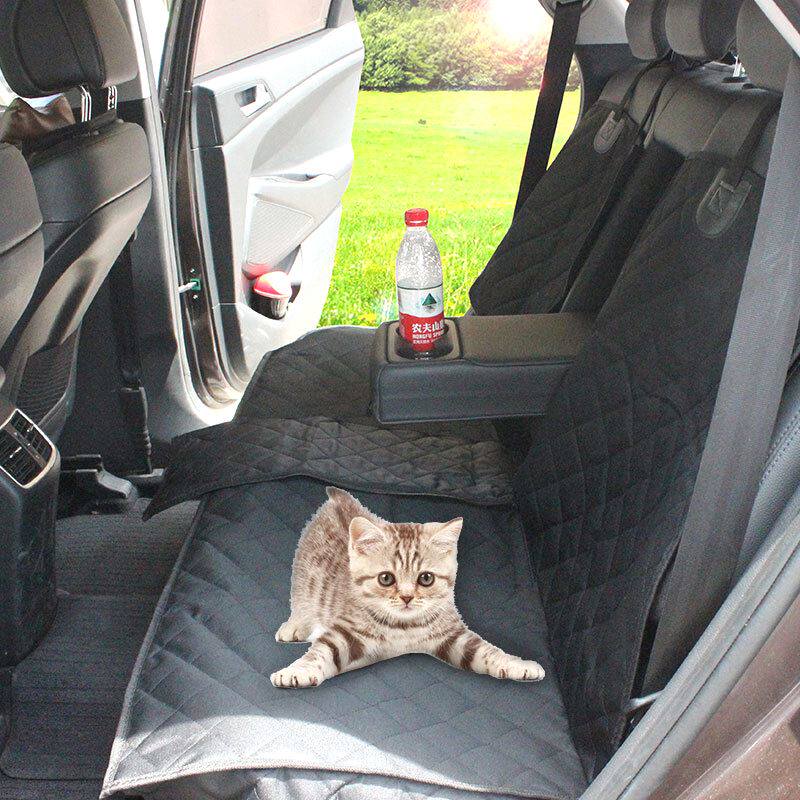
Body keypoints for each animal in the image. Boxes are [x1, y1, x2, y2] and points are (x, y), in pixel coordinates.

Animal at [271, 486, 545, 688]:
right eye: (386, 579)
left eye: (426, 579)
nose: (406, 597)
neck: (404, 628)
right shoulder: (346, 631)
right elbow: (321, 652)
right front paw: (296, 671)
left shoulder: (452, 634)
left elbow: (486, 651)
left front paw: (518, 664)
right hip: (304, 575)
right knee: (301, 598)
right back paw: (294, 625)